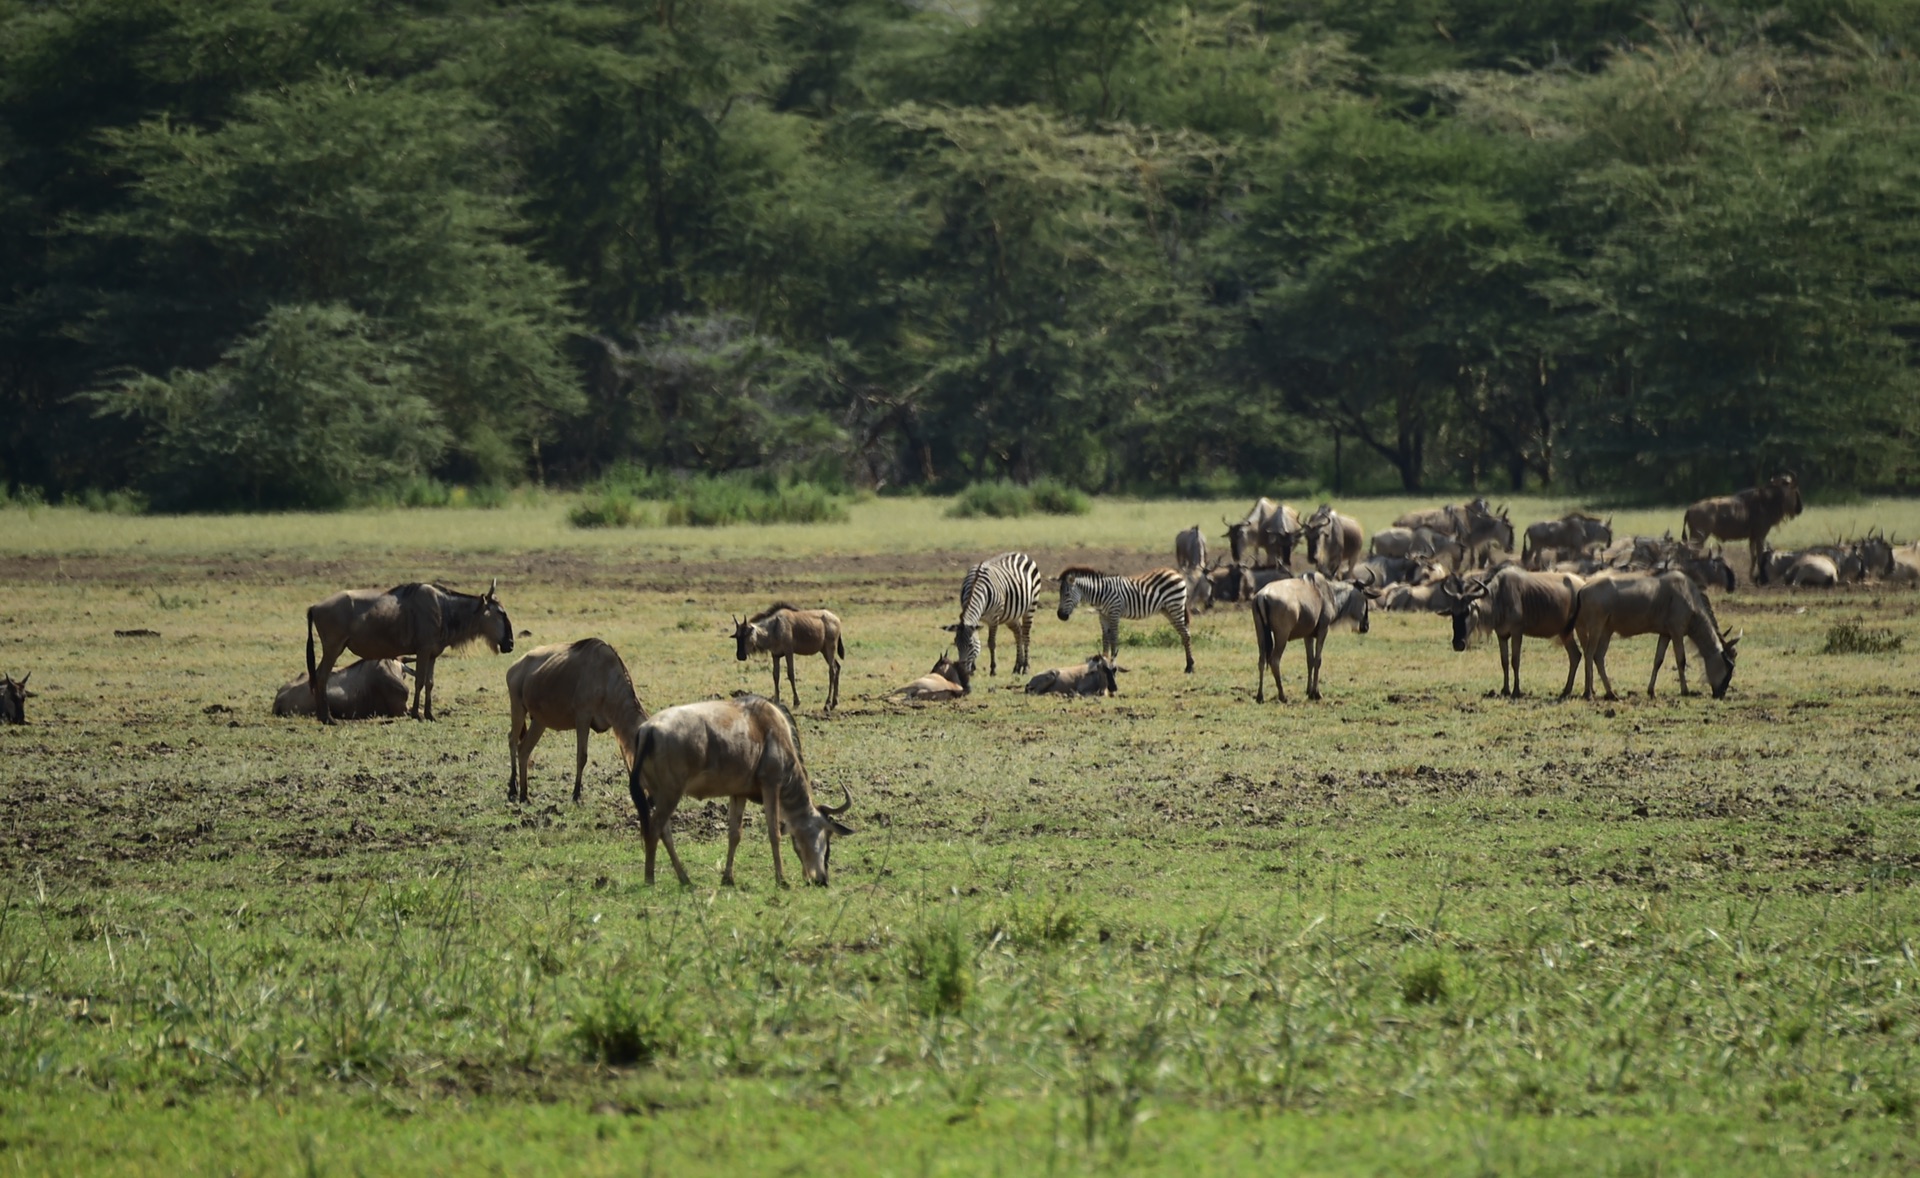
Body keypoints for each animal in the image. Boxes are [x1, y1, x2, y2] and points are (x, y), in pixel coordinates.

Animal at [1059, 564, 1190, 675]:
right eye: (1060, 594)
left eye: (1066, 595)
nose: (1060, 616)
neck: (1101, 594)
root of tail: (1174, 572)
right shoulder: (1103, 616)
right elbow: (1105, 639)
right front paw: (1103, 664)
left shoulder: (1114, 613)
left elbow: (1113, 638)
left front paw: (1113, 665)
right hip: (1168, 610)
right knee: (1183, 633)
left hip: (1175, 606)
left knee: (1185, 634)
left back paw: (1189, 667)